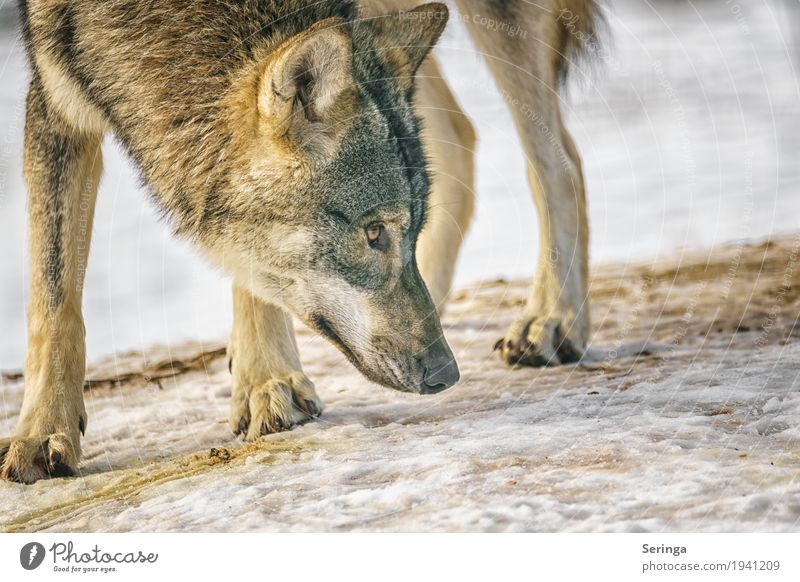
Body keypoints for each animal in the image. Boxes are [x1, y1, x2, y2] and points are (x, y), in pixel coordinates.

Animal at [0, 0, 600, 484]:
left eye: (398, 231)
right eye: (375, 232)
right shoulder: (54, 94)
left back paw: (551, 319)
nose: (445, 373)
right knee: (460, 135)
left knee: (559, 160)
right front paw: (41, 433)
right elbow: (54, 300)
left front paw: (268, 383)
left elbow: (251, 275)